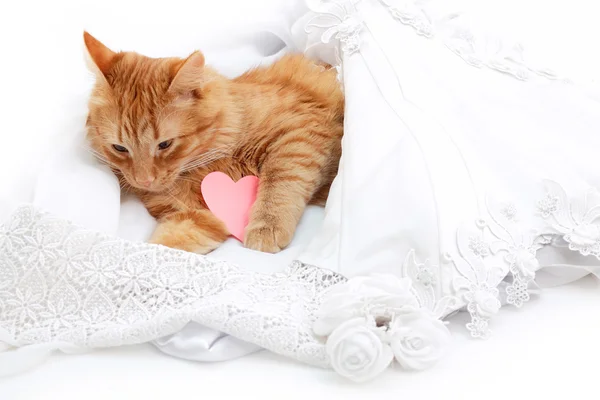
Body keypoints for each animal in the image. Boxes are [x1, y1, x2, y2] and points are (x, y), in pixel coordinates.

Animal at [85, 32, 346, 255]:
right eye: (120, 148)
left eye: (165, 144)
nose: (144, 181)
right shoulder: (196, 215)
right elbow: (163, 247)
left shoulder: (300, 130)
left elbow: (280, 182)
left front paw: (266, 227)